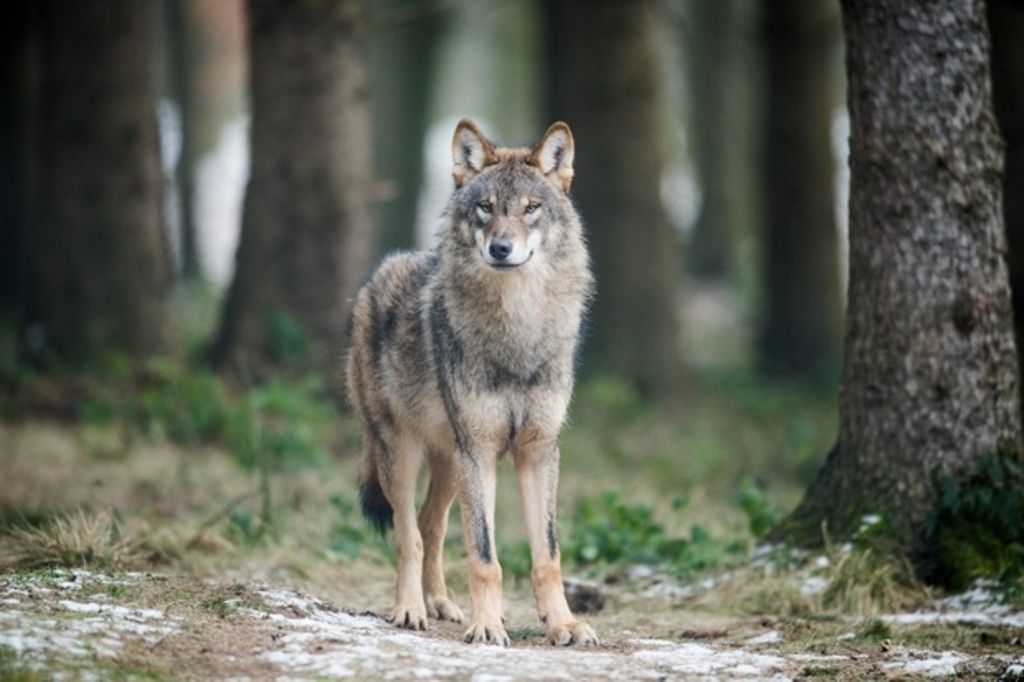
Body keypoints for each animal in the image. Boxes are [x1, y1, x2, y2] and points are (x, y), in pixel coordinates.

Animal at [346, 118, 596, 646]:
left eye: (530, 208)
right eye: (486, 207)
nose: (501, 248)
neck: (518, 328)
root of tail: (375, 277)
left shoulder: (539, 452)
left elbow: (548, 554)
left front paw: (562, 624)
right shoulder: (479, 451)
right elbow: (485, 556)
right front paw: (487, 626)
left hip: (448, 463)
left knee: (431, 525)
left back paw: (440, 603)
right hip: (403, 453)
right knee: (409, 533)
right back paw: (410, 609)